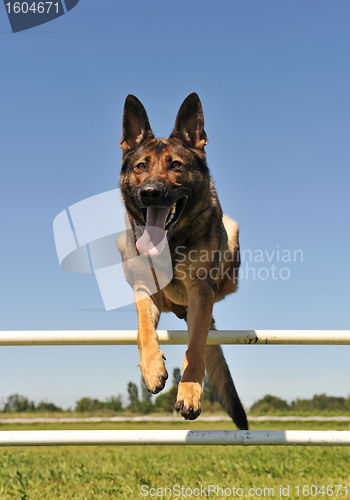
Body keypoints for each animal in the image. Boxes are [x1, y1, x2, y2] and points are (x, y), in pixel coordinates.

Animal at [118, 92, 249, 428]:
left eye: (176, 166)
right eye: (140, 166)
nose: (150, 193)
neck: (169, 242)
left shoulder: (200, 291)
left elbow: (196, 345)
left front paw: (189, 391)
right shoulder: (144, 290)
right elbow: (144, 330)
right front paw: (152, 368)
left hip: (230, 231)